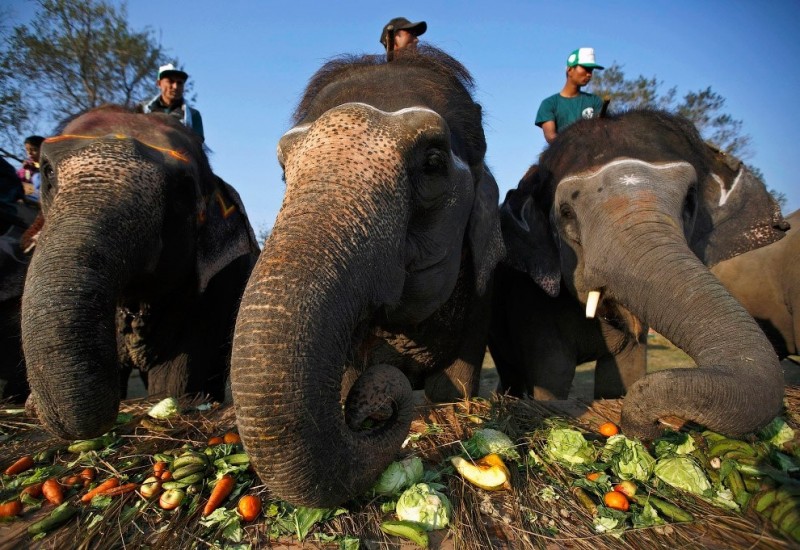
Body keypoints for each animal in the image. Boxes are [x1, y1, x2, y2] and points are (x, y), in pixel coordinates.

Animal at [22, 106, 260, 444]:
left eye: (183, 189)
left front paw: (174, 400)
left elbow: (175, 382)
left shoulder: (217, 290)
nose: (31, 405)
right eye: (48, 172)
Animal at [488, 110, 788, 442]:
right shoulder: (533, 303)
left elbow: (624, 370)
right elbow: (553, 373)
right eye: (566, 212)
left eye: (689, 199)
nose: (656, 424)